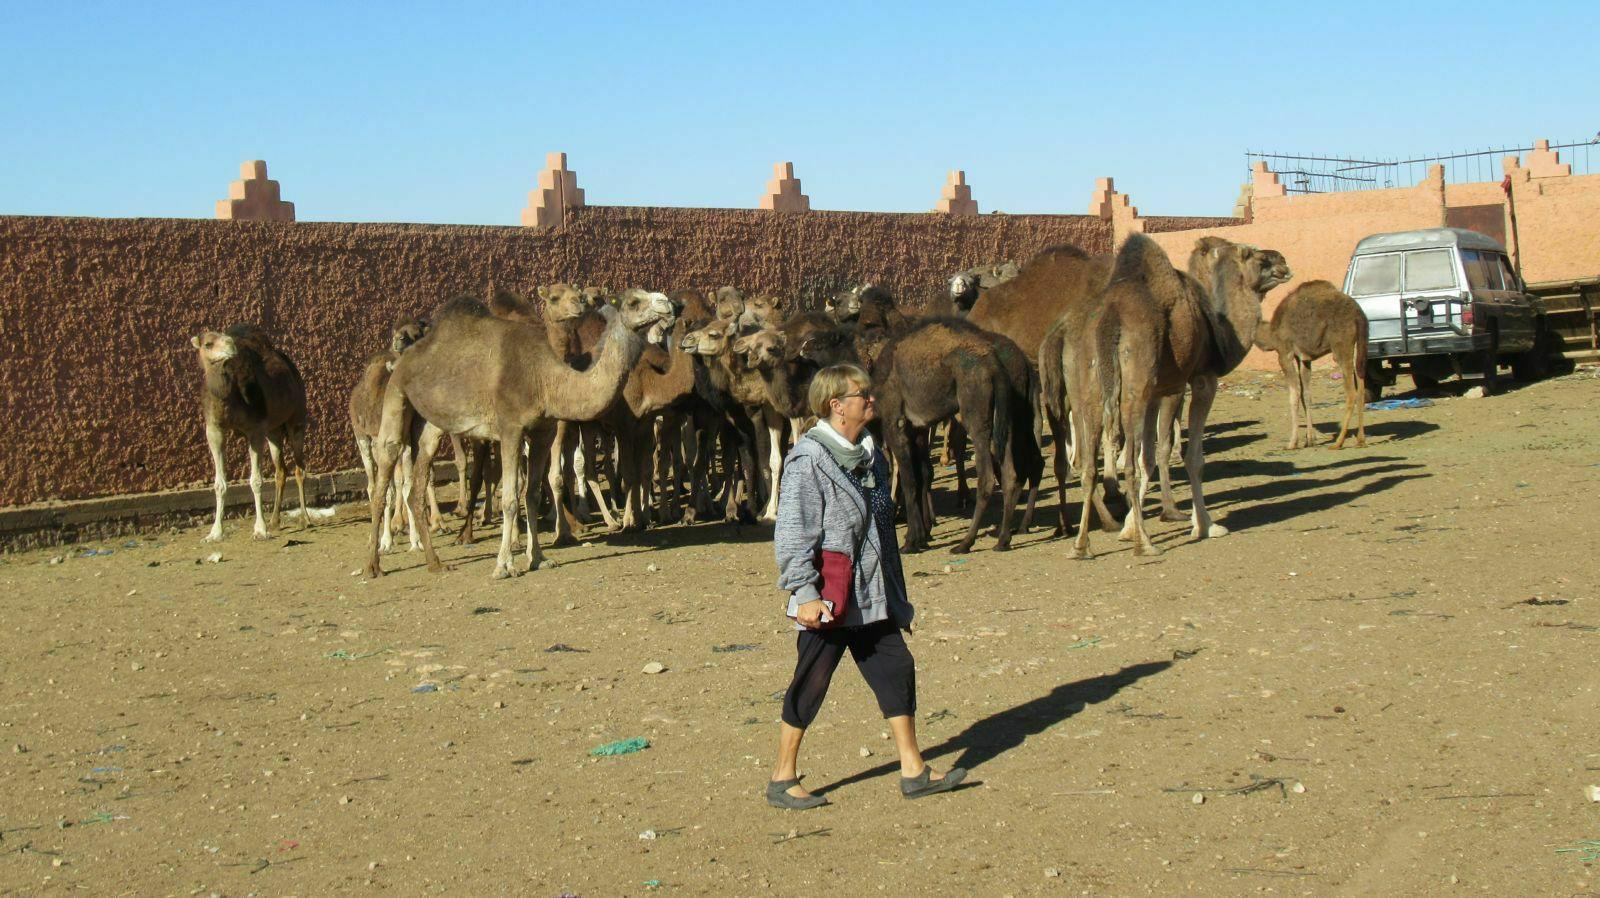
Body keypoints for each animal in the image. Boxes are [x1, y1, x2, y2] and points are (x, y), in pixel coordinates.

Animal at [364, 291, 675, 576]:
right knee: (384, 471)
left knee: (416, 486)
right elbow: (510, 499)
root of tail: (401, 360)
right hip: (397, 396)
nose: (666, 303)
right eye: (633, 302)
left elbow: (533, 494)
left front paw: (538, 557)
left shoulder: (543, 432)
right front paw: (504, 565)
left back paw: (435, 563)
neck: (546, 379)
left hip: (430, 425)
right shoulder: (510, 429)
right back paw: (373, 565)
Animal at [876, 315, 1036, 553]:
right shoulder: (918, 429)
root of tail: (995, 367)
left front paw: (911, 541)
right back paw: (1003, 539)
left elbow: (909, 481)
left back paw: (965, 542)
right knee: (1010, 474)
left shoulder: (895, 423)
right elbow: (922, 475)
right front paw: (922, 536)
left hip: (976, 412)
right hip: (1006, 415)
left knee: (987, 477)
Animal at [1068, 235, 1292, 557]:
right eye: (1255, 256)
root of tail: (1110, 317)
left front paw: (1128, 527)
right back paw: (1145, 544)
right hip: (1135, 380)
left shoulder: (1156, 392)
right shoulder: (1198, 380)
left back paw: (1081, 545)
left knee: (1089, 465)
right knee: (1128, 463)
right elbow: (1192, 458)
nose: (1283, 262)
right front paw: (1206, 526)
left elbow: (1148, 457)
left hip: (1091, 382)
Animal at [1254, 278, 1369, 448]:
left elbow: (1293, 395)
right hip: (1359, 344)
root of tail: (1359, 314)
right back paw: (1360, 440)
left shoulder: (1284, 353)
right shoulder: (1303, 358)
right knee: (1361, 386)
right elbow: (1306, 394)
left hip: (1341, 346)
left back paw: (1338, 442)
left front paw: (1292, 442)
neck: (1271, 334)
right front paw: (1310, 439)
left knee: (1351, 392)